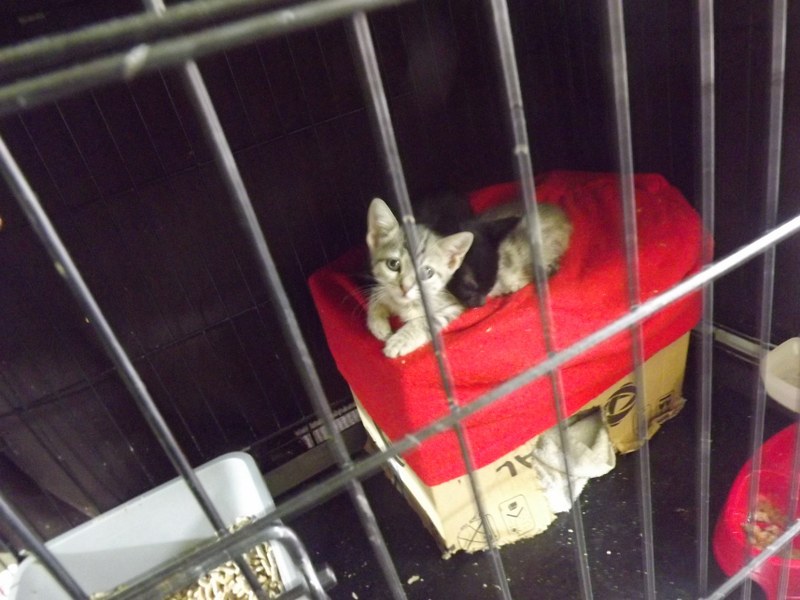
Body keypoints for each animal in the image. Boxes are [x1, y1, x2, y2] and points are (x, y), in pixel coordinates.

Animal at [366, 198, 474, 358]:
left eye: (426, 272)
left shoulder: (453, 305)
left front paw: (400, 340)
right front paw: (378, 324)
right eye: (393, 264)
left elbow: (427, 322)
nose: (405, 287)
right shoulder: (383, 287)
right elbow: (376, 295)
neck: (404, 305)